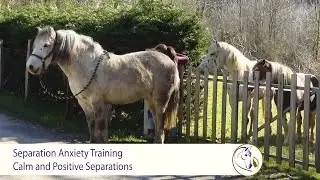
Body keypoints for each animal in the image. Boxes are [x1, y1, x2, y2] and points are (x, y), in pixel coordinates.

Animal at [25, 26, 180, 143]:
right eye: (34, 44)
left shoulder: (98, 102)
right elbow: (92, 126)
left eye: (46, 45)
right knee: (156, 121)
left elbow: (99, 127)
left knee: (160, 123)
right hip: (150, 99)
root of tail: (167, 59)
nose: (31, 66)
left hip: (161, 99)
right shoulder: (84, 104)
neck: (87, 64)